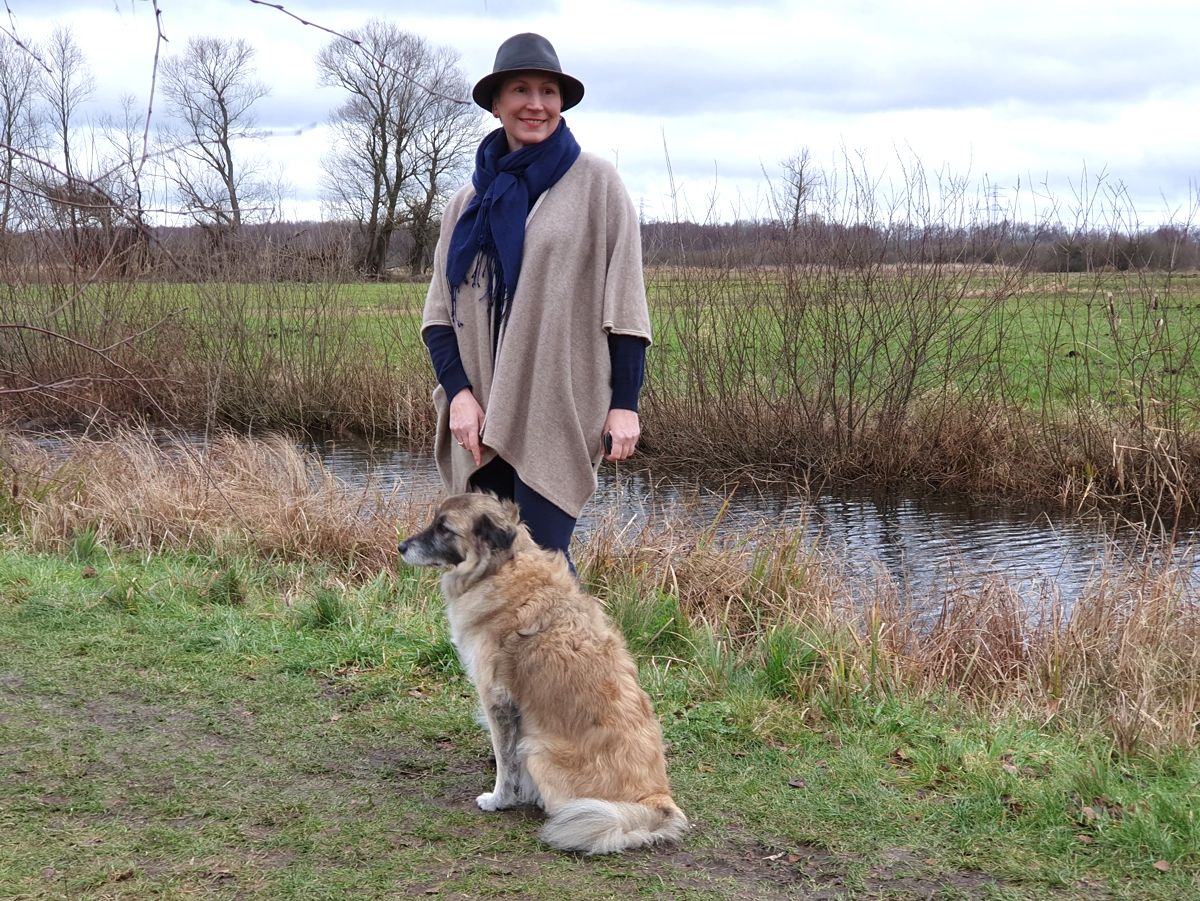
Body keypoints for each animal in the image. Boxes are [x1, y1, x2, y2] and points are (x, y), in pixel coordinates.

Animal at [400, 494, 691, 854]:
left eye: (444, 528)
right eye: (434, 522)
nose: (401, 547)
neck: (501, 570)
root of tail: (656, 801)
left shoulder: (497, 700)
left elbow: (505, 762)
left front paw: (499, 799)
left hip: (536, 749)